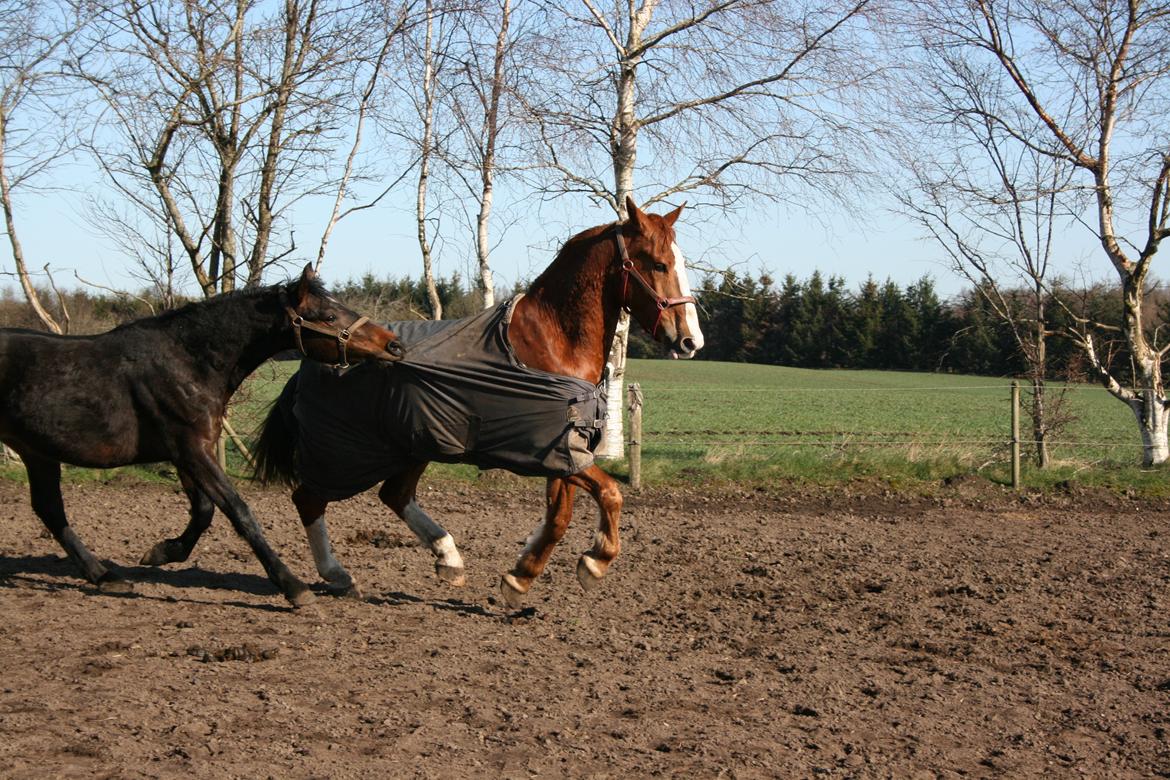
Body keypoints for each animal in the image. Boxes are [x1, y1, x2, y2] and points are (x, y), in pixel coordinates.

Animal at [0, 265, 402, 608]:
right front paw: (292, 586)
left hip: (37, 451)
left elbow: (204, 511)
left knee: (50, 509)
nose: (394, 345)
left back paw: (105, 576)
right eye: (330, 316)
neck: (187, 361)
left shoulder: (188, 451)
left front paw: (162, 552)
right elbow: (238, 511)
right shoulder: (191, 449)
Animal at [231, 198, 697, 608]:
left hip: (411, 445)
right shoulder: (553, 451)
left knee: (394, 495)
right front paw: (594, 562)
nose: (691, 341)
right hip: (349, 453)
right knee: (310, 500)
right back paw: (338, 575)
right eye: (658, 263)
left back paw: (448, 558)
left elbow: (560, 516)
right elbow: (610, 494)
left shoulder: (564, 452)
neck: (554, 340)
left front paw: (520, 578)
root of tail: (308, 367)